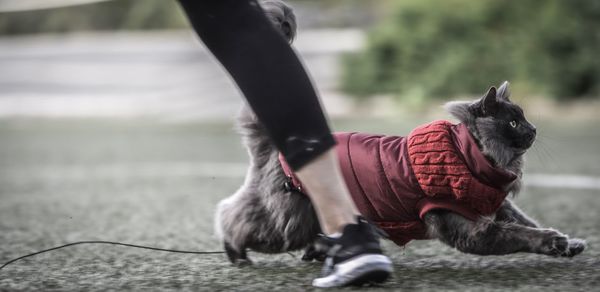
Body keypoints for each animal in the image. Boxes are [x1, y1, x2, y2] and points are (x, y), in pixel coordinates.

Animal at [214, 0, 584, 264]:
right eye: (513, 122)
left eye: (524, 118)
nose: (534, 129)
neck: (472, 156)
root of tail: (281, 145)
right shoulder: (470, 228)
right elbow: (521, 234)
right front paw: (552, 241)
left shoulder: (498, 206)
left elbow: (527, 220)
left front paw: (569, 243)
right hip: (288, 221)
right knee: (233, 216)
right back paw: (237, 254)